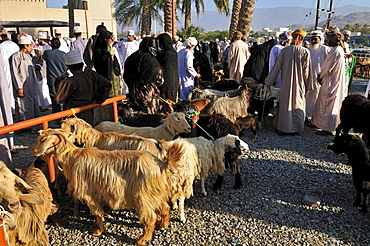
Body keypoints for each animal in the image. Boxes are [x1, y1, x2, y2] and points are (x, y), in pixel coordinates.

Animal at [31, 130, 184, 245]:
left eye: (43, 139)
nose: (33, 151)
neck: (73, 157)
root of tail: (162, 164)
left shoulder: (89, 194)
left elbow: (97, 213)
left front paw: (98, 231)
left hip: (143, 197)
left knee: (150, 218)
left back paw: (142, 239)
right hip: (155, 193)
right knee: (165, 207)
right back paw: (162, 225)